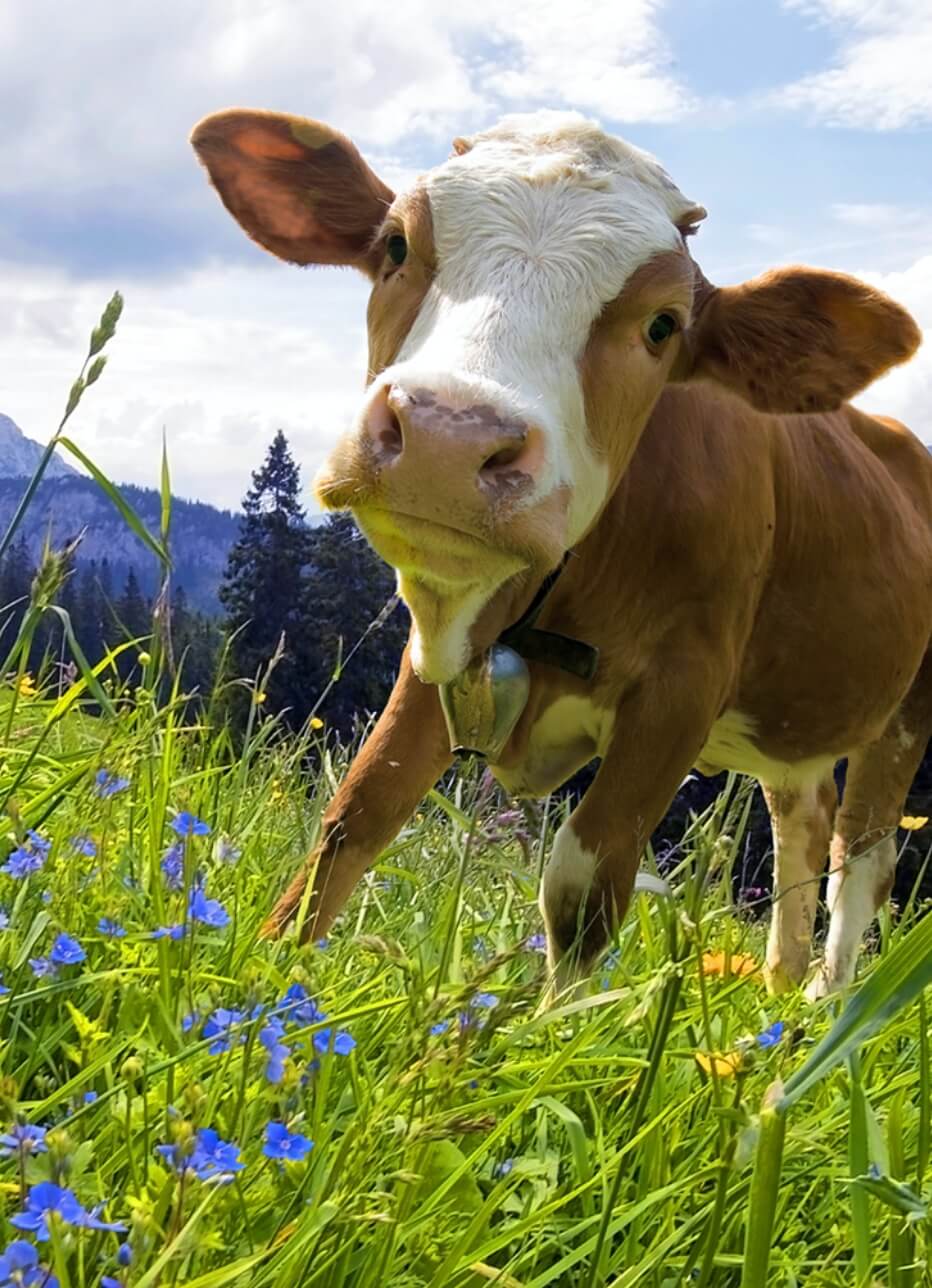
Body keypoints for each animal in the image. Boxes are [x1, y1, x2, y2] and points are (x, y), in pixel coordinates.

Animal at [191, 107, 932, 1001]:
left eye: (662, 326)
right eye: (396, 244)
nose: (448, 434)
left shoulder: (683, 687)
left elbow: (585, 884)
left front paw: (549, 1029)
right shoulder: (442, 651)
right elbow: (354, 817)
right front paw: (268, 981)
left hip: (907, 711)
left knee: (861, 858)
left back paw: (820, 1007)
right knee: (802, 814)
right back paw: (780, 987)